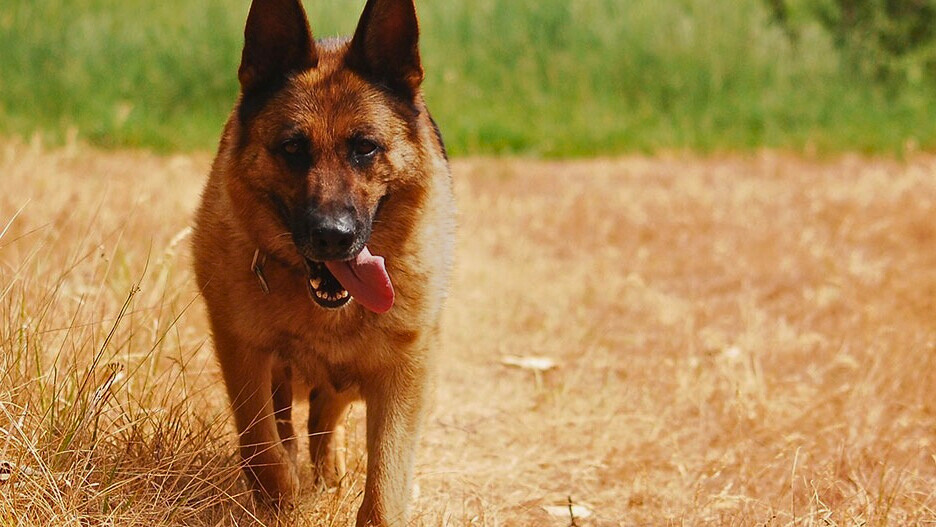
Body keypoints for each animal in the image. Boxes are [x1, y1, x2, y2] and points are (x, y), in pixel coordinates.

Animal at [192, 0, 456, 524]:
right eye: (293, 147)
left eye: (366, 147)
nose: (333, 237)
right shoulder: (243, 351)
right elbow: (262, 445)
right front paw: (281, 501)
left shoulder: (402, 373)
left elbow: (386, 483)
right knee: (292, 424)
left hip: (355, 379)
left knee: (323, 416)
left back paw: (328, 473)